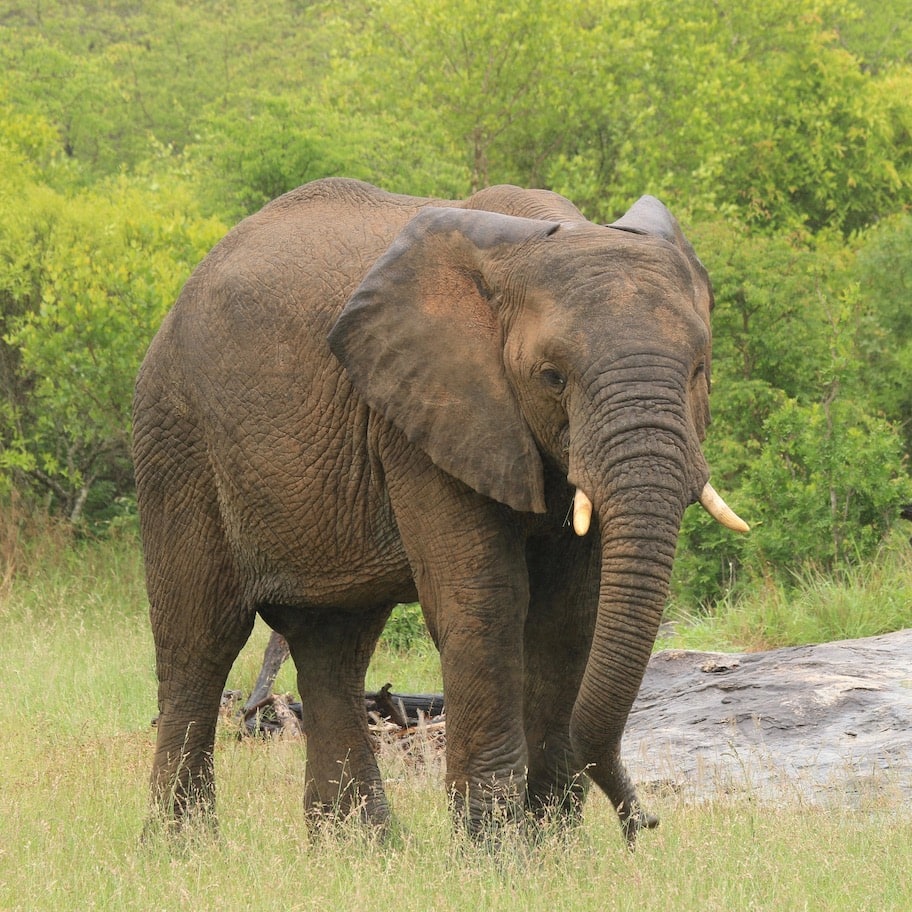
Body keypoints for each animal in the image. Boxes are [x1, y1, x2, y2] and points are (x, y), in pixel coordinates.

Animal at [132, 177, 747, 845]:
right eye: (552, 377)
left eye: (699, 370)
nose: (645, 822)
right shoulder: (424, 415)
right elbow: (485, 602)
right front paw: (496, 850)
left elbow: (569, 614)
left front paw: (552, 847)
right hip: (177, 438)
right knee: (201, 640)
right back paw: (182, 847)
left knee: (334, 644)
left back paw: (360, 850)